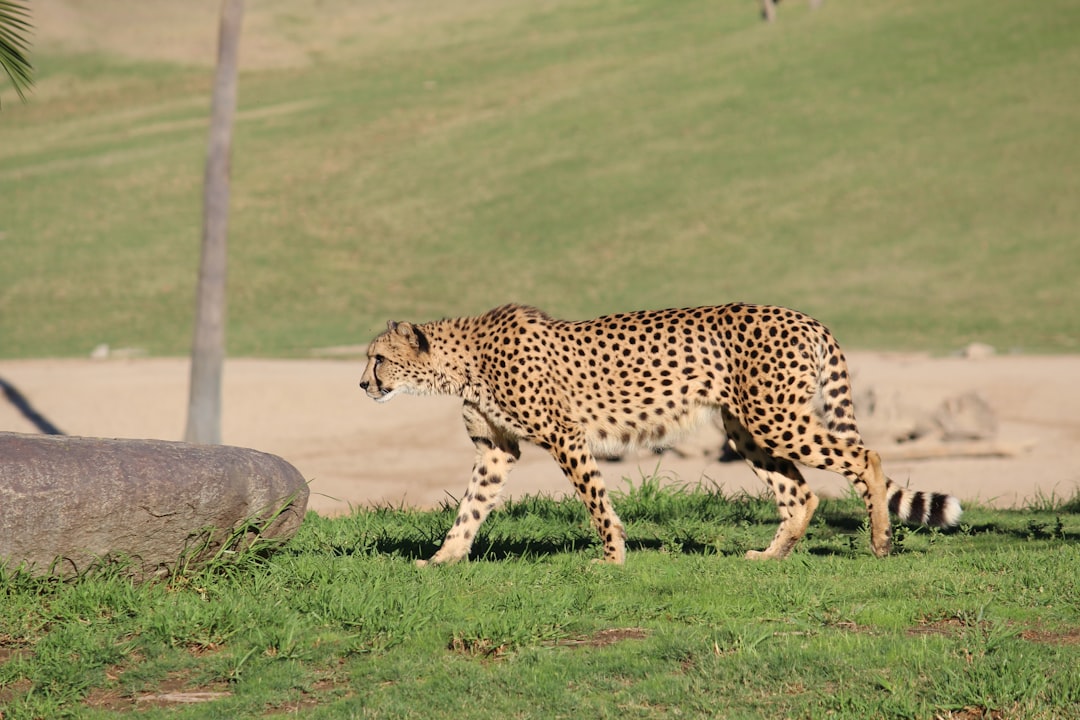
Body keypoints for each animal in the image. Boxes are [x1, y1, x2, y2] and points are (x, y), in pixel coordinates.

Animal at [360, 302, 963, 565]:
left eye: (378, 358)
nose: (363, 384)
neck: (462, 359)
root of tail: (803, 316)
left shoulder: (565, 436)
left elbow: (595, 500)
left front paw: (612, 557)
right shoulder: (496, 450)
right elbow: (470, 507)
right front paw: (443, 559)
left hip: (777, 419)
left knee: (866, 455)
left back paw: (881, 541)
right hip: (748, 429)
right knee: (801, 493)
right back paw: (771, 555)